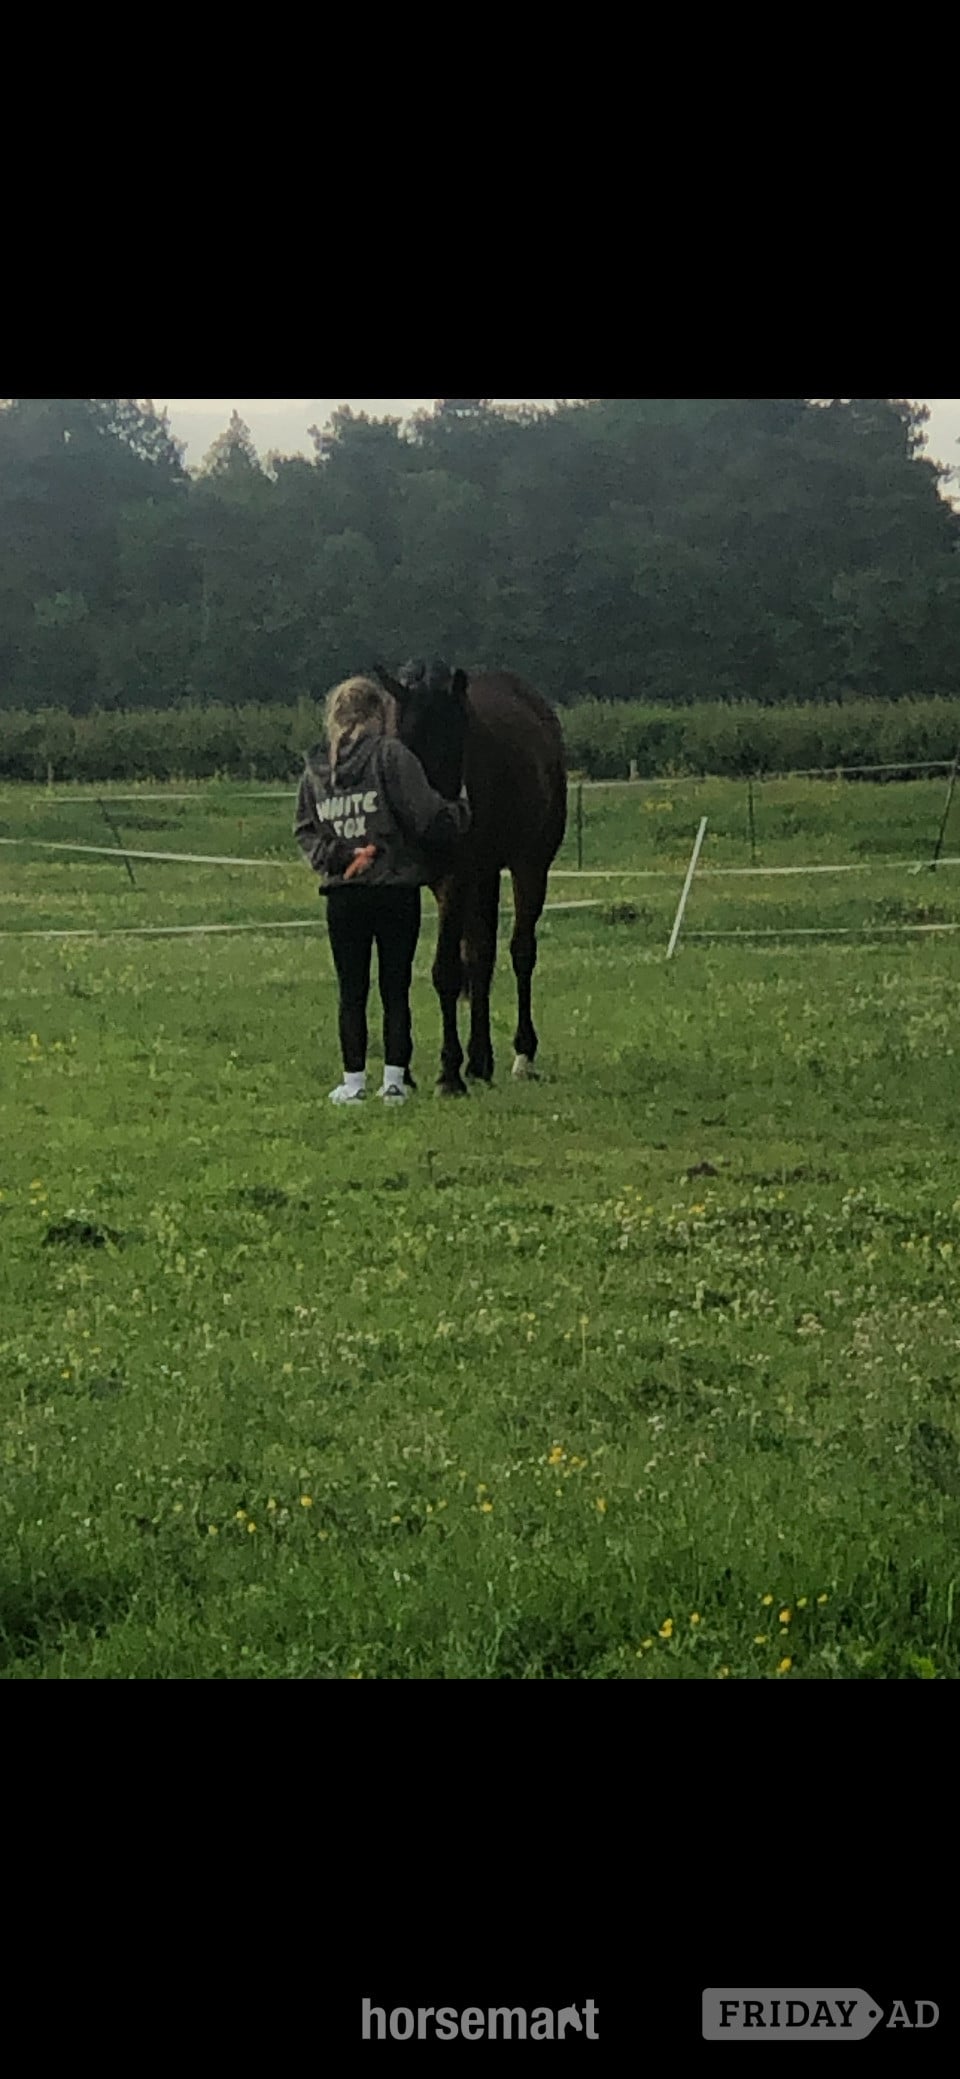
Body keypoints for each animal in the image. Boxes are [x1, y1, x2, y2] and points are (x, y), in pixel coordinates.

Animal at [374, 658, 567, 1097]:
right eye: (403, 744)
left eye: (457, 743)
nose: (442, 823)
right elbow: (402, 972)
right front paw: (403, 1072)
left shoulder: (456, 879)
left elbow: (446, 971)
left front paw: (448, 1074)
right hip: (485, 876)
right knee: (482, 957)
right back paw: (480, 1061)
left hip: (529, 865)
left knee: (520, 952)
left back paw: (521, 1056)